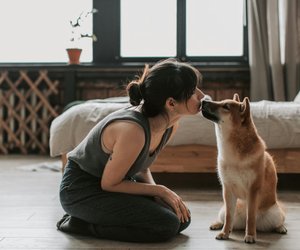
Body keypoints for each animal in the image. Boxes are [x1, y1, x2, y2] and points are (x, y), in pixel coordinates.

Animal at [200, 94, 288, 244]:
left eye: (226, 106)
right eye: (221, 102)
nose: (203, 101)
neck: (234, 156)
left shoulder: (253, 189)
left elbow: (250, 217)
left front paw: (251, 235)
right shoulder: (227, 189)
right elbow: (229, 217)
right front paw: (224, 233)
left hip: (274, 213)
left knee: (278, 221)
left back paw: (280, 228)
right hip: (224, 209)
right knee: (226, 219)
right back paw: (218, 225)